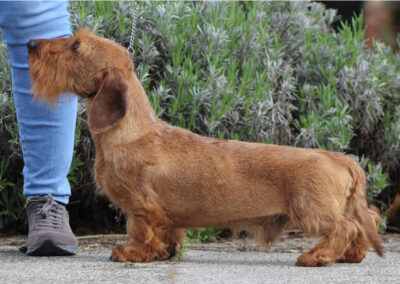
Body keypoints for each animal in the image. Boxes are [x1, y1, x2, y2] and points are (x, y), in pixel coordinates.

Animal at [26, 28, 382, 266]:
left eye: (75, 46)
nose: (29, 43)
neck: (131, 131)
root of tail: (342, 159)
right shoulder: (165, 215)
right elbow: (169, 234)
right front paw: (164, 253)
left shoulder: (140, 207)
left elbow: (140, 231)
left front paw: (133, 253)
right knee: (367, 222)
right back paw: (351, 255)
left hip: (311, 211)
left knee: (346, 228)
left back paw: (318, 255)